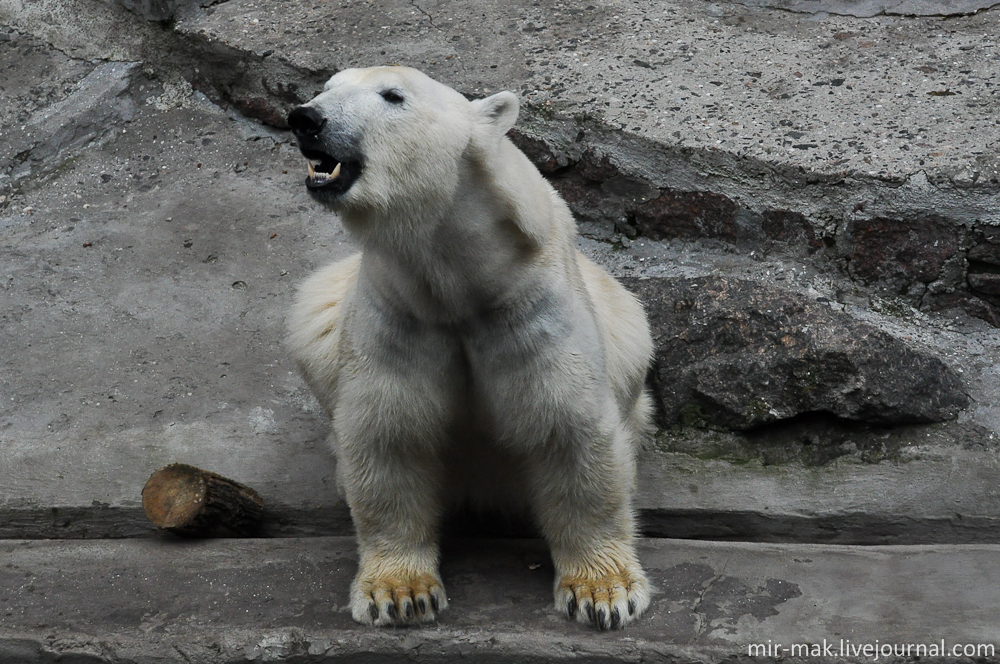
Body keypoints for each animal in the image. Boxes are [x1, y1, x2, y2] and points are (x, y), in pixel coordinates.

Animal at [286, 68, 652, 632]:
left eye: (393, 96)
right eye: (327, 87)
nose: (306, 117)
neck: (461, 276)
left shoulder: (528, 307)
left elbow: (571, 432)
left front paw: (604, 594)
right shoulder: (403, 311)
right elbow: (389, 436)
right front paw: (400, 594)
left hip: (628, 325)